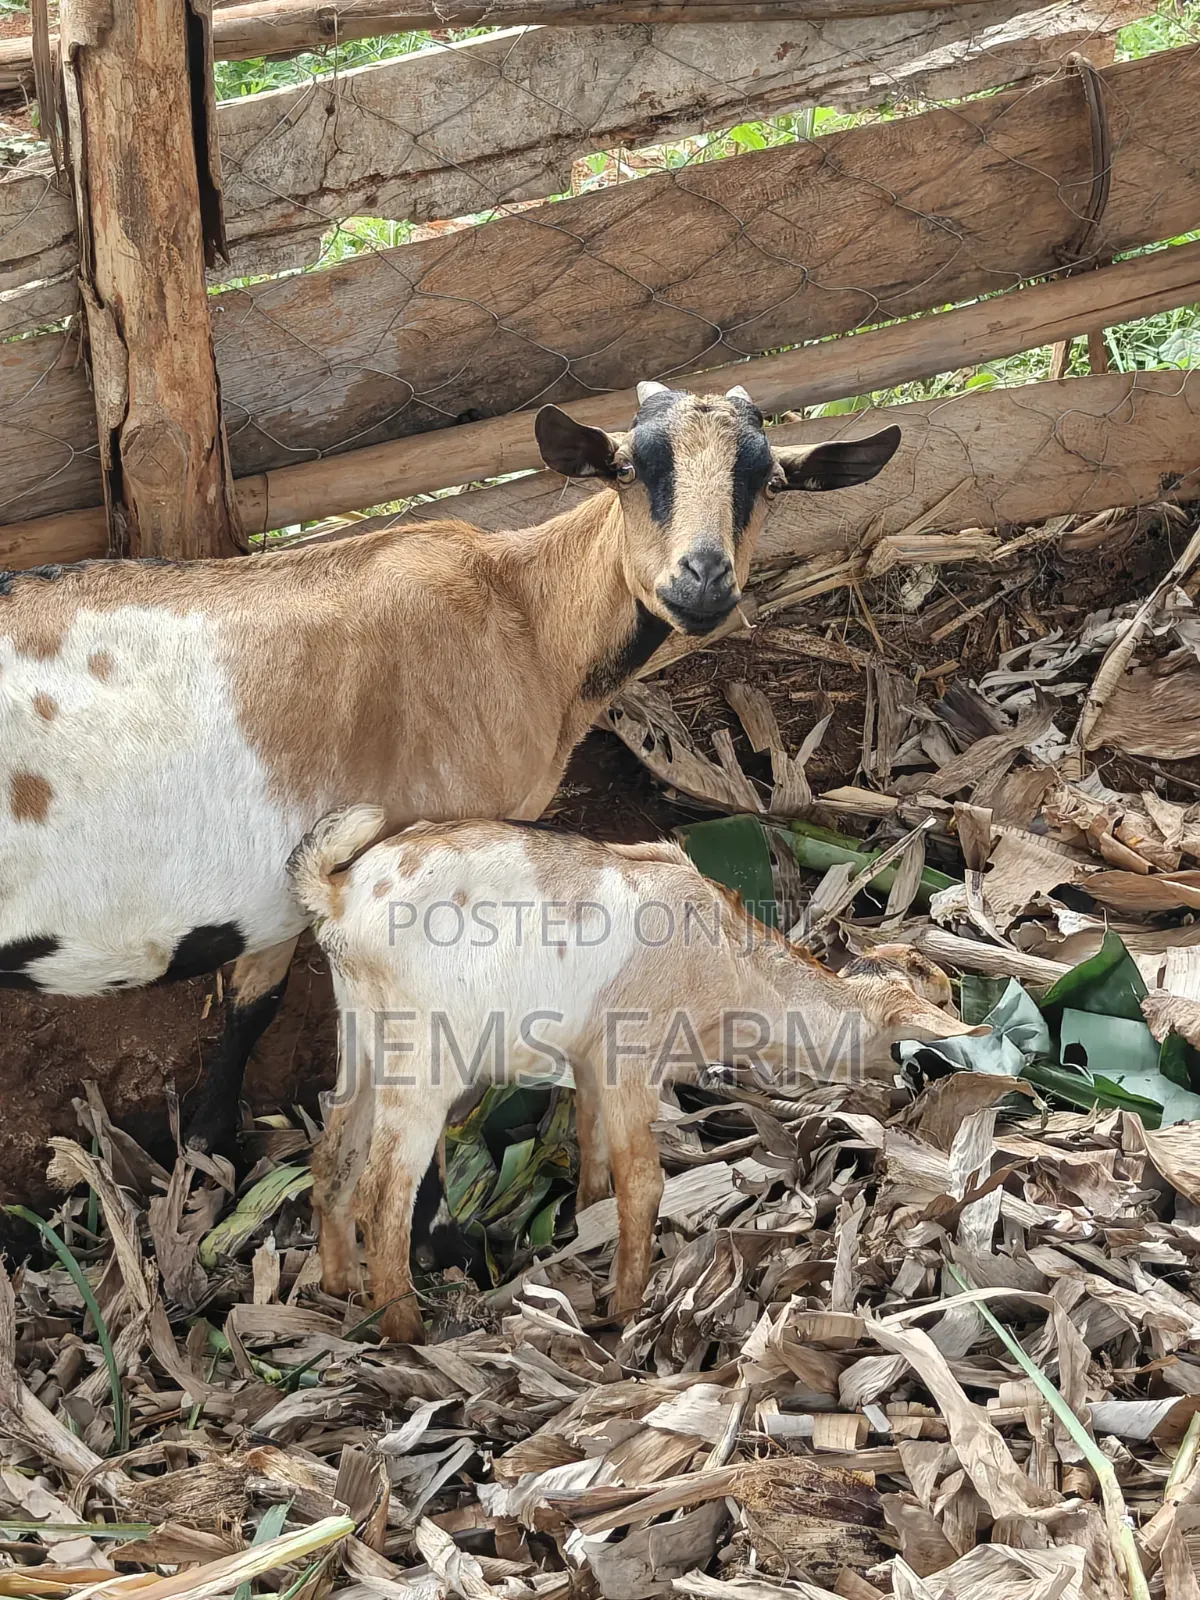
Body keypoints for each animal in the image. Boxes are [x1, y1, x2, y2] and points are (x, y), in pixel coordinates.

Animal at [0, 384, 899, 1154]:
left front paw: (209, 1138)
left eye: (770, 481)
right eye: (628, 469)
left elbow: (252, 1005)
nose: (702, 579)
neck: (522, 616)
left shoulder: (282, 897)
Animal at [288, 808, 986, 1343]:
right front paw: (627, 1308)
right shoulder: (631, 1056)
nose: (917, 1092)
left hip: (365, 1037)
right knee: (384, 1191)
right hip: (426, 1056)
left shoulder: (591, 1060)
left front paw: (585, 1227)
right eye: (913, 1039)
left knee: (333, 1154)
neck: (732, 966)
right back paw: (404, 1329)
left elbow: (595, 1151)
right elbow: (644, 1183)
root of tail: (342, 893)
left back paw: (340, 1286)